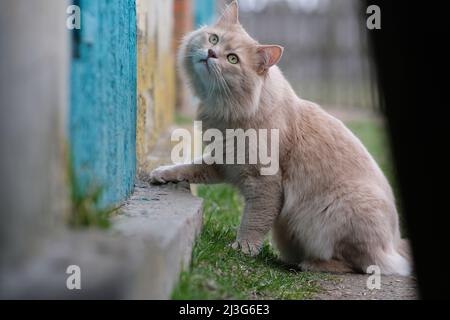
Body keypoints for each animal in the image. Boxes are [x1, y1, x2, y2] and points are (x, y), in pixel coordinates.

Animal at [151, 0, 412, 276]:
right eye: (214, 38)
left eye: (232, 59)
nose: (211, 52)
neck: (230, 110)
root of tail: (393, 246)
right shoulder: (223, 161)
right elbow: (189, 167)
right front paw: (163, 173)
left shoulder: (264, 182)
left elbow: (253, 221)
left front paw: (243, 248)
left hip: (334, 212)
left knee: (361, 265)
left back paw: (311, 264)